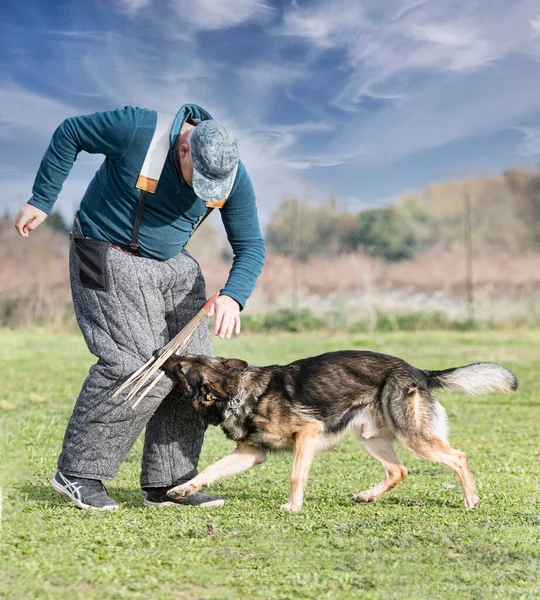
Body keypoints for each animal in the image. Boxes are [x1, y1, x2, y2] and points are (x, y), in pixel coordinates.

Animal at [162, 352, 516, 510]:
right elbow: (210, 470)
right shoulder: (250, 454)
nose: (162, 356)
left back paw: (471, 498)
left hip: (413, 437)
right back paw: (368, 495)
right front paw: (183, 490)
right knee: (398, 471)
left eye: (182, 366)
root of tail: (418, 371)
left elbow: (296, 476)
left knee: (458, 457)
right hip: (369, 438)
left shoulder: (307, 434)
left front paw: (293, 507)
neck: (237, 392)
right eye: (186, 359)